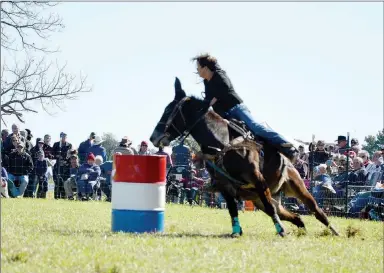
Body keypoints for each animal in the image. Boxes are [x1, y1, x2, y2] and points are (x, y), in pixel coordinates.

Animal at [150, 77, 340, 237]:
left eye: (169, 111)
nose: (154, 137)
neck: (223, 143)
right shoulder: (225, 186)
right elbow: (232, 209)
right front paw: (236, 232)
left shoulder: (258, 180)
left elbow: (269, 209)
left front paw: (280, 231)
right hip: (261, 200)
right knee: (295, 216)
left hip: (297, 188)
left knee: (316, 212)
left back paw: (334, 232)